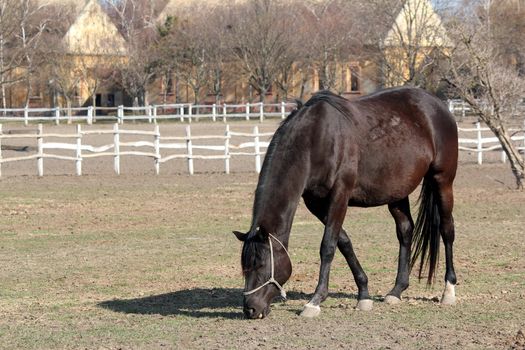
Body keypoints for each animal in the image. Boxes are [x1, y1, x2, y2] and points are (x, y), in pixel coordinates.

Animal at [233, 87, 458, 320]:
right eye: (244, 267)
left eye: (260, 264)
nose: (250, 309)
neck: (315, 140)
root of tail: (438, 105)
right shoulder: (316, 204)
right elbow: (344, 243)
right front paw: (364, 294)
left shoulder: (340, 195)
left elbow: (328, 246)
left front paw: (315, 301)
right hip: (397, 192)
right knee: (405, 231)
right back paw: (396, 291)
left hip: (442, 180)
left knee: (447, 229)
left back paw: (449, 291)